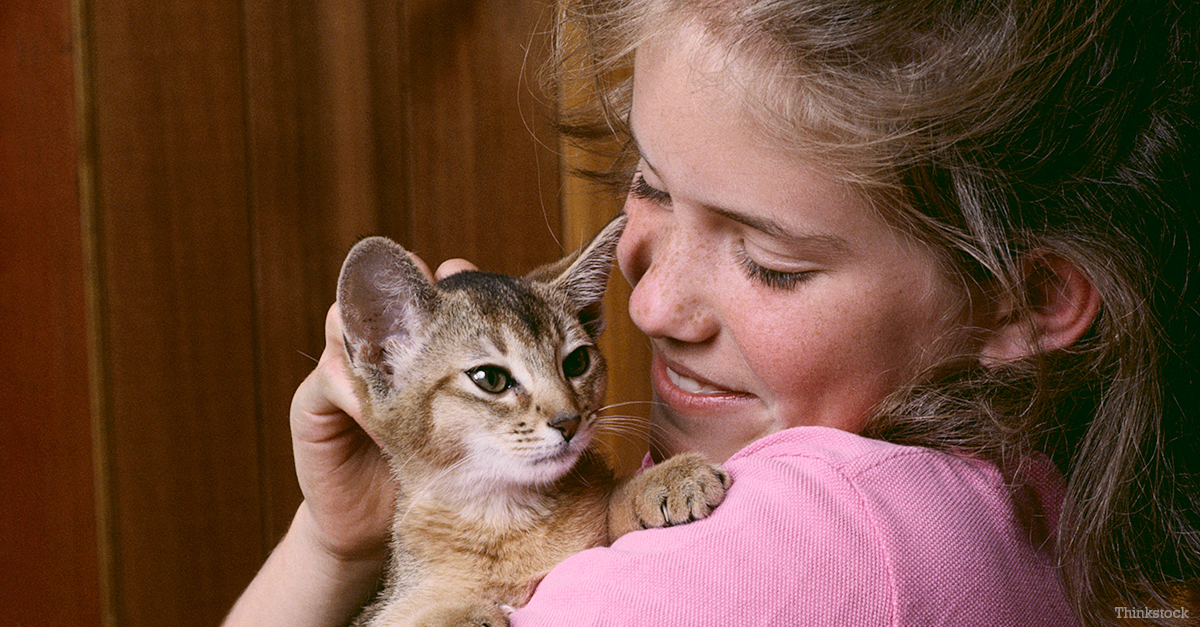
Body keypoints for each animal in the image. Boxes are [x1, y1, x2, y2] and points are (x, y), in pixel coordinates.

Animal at [338, 212, 729, 619]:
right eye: (489, 378)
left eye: (577, 362)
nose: (569, 422)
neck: (507, 518)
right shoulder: (392, 604)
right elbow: (420, 612)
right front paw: (470, 614)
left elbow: (609, 503)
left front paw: (666, 478)